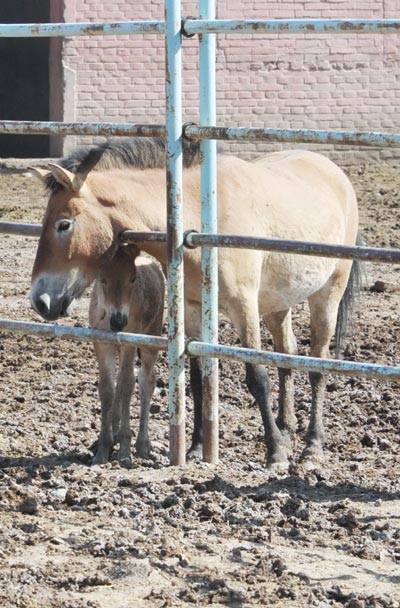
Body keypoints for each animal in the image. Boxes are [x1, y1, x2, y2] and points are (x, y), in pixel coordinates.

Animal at [28, 140, 360, 472]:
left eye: (63, 224)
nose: (40, 301)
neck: (199, 217)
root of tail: (335, 172)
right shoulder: (192, 308)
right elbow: (200, 379)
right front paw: (197, 448)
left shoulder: (244, 307)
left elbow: (257, 379)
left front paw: (275, 453)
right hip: (278, 304)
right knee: (286, 355)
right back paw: (288, 430)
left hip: (328, 293)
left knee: (317, 365)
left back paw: (312, 446)